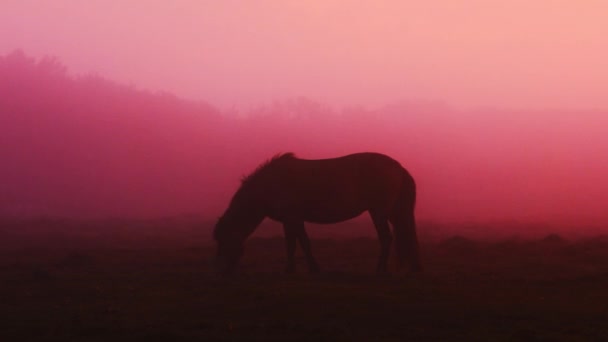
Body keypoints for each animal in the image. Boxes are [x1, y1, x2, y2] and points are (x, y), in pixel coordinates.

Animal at [211, 152, 420, 276]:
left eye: (223, 240)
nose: (221, 270)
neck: (271, 184)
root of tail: (398, 168)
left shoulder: (292, 218)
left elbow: (296, 244)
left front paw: (296, 270)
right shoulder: (293, 220)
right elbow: (299, 243)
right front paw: (306, 269)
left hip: (379, 212)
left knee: (386, 238)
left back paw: (380, 270)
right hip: (392, 212)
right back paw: (413, 269)